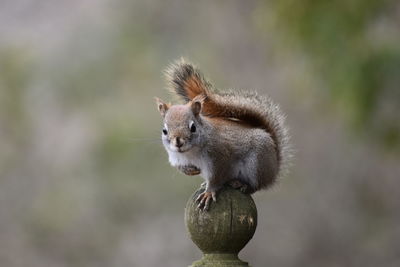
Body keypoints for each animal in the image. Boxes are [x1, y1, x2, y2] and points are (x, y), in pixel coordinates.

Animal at [155, 58, 290, 211]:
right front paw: (191, 171)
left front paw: (209, 193)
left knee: (256, 186)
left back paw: (242, 185)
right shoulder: (176, 158)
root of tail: (274, 169)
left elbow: (216, 178)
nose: (178, 142)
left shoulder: (219, 158)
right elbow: (182, 168)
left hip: (256, 164)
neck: (190, 153)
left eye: (193, 127)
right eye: (165, 131)